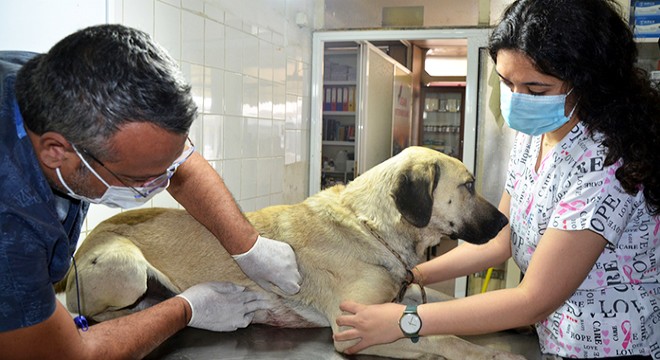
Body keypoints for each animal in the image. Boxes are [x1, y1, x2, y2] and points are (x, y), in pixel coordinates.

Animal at [59, 147, 520, 360]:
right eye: (468, 185)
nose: (505, 223)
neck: (370, 226)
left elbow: (435, 313)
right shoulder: (354, 329)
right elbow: (437, 337)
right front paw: (488, 352)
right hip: (129, 267)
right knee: (94, 316)